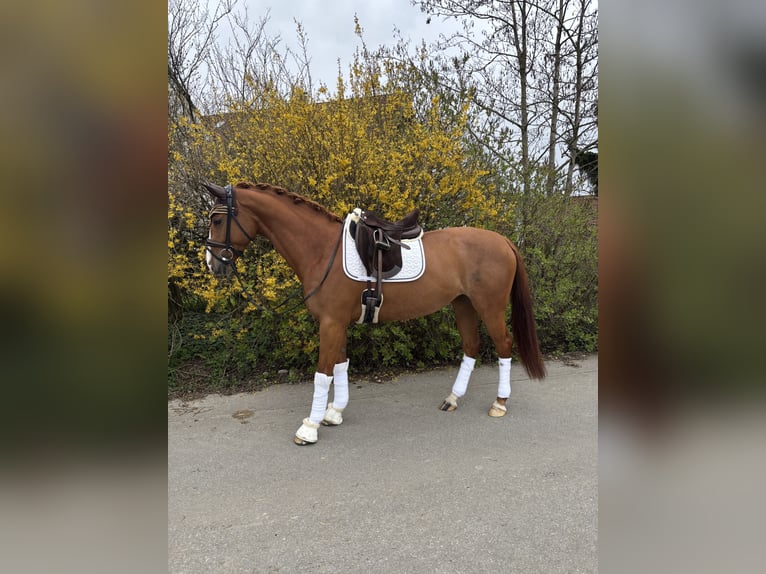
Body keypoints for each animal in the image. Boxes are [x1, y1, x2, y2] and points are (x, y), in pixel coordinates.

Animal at [203, 181, 546, 445]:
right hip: (462, 303)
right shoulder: (336, 323)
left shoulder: (330, 324)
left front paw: (309, 427)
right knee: (471, 346)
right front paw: (333, 413)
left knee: (503, 346)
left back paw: (499, 403)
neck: (322, 250)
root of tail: (503, 240)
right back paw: (453, 399)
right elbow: (340, 366)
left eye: (217, 221)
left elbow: (322, 374)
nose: (213, 264)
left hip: (490, 306)